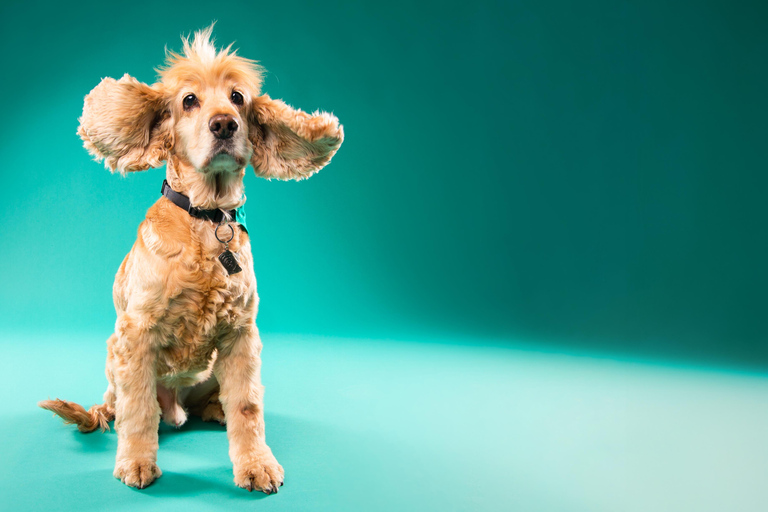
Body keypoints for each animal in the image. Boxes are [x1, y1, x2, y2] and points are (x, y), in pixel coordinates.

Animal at [37, 26, 344, 494]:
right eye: (188, 101)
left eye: (237, 98)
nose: (224, 124)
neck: (206, 219)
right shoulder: (137, 335)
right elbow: (139, 410)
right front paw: (136, 461)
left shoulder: (241, 335)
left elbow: (248, 407)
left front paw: (256, 463)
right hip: (112, 359)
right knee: (119, 408)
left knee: (216, 401)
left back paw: (213, 408)